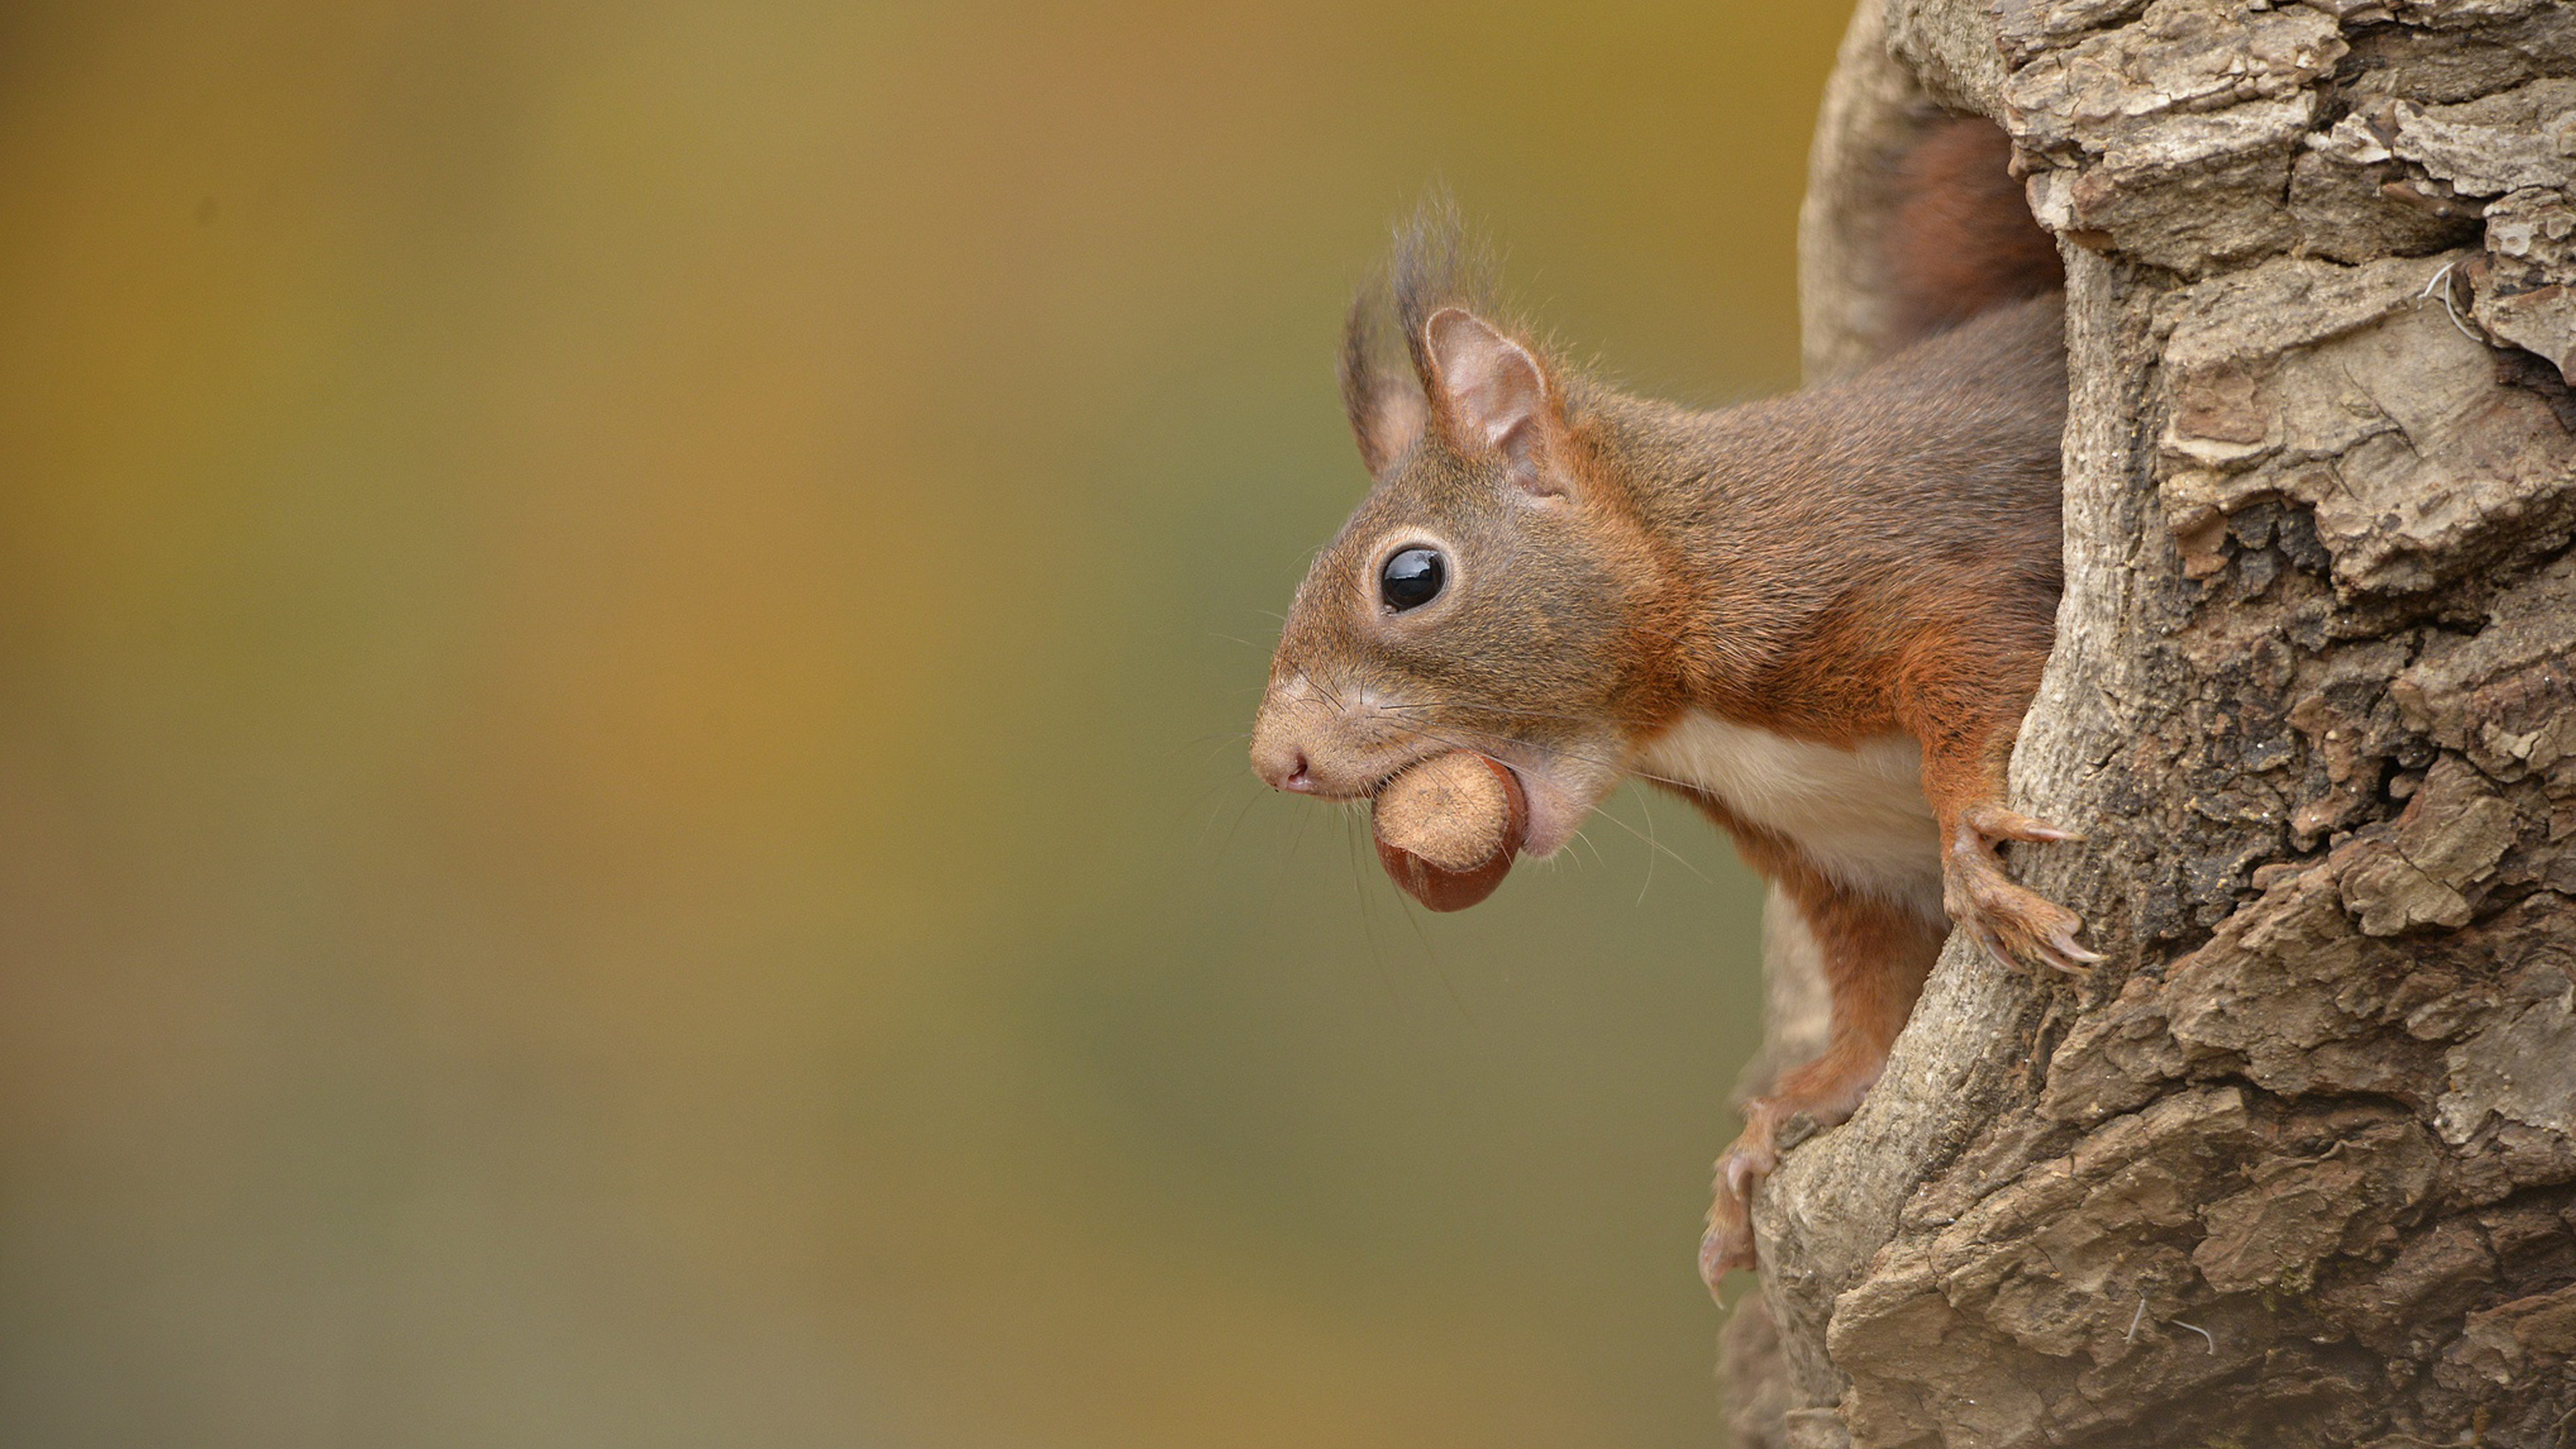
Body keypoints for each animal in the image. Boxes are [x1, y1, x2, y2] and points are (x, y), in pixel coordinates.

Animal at [1252, 118, 2092, 1279]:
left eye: (1411, 578)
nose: (1272, 757)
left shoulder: (1919, 579)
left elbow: (1982, 672)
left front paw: (1977, 842)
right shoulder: (1840, 863)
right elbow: (1874, 996)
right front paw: (1787, 1119)